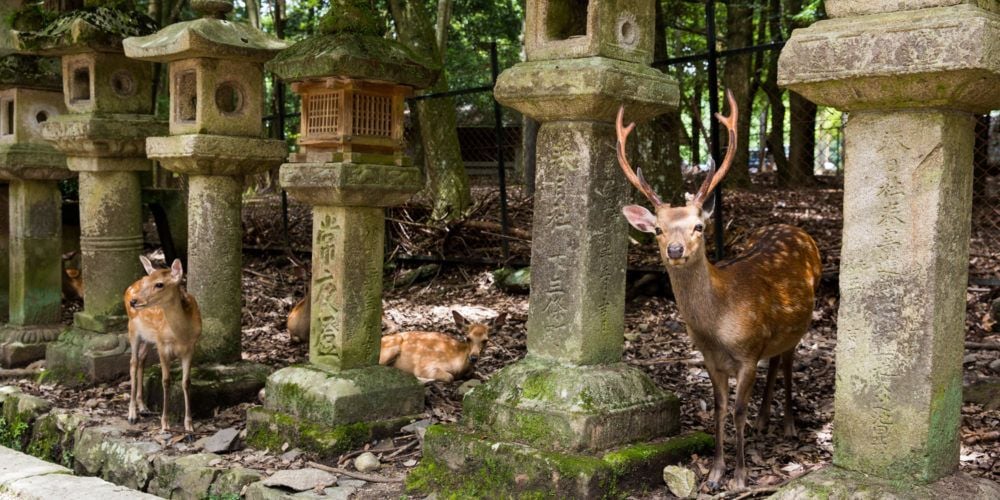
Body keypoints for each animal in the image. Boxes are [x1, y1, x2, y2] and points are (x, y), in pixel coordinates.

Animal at [126, 256, 202, 432]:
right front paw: (165, 423)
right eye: (147, 282)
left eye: (159, 284)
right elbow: (166, 381)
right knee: (133, 362)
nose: (134, 301)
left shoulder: (190, 348)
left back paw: (143, 407)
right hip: (132, 329)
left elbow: (186, 382)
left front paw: (189, 424)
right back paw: (132, 414)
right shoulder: (162, 345)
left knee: (142, 359)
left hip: (148, 337)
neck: (181, 334)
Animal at [616, 91, 820, 492]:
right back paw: (764, 422)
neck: (718, 327)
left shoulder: (747, 353)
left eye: (698, 226)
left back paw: (788, 425)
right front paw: (713, 474)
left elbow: (738, 410)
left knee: (788, 362)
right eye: (658, 230)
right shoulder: (711, 359)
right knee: (775, 361)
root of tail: (796, 228)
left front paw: (739, 477)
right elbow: (720, 409)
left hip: (801, 324)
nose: (675, 250)